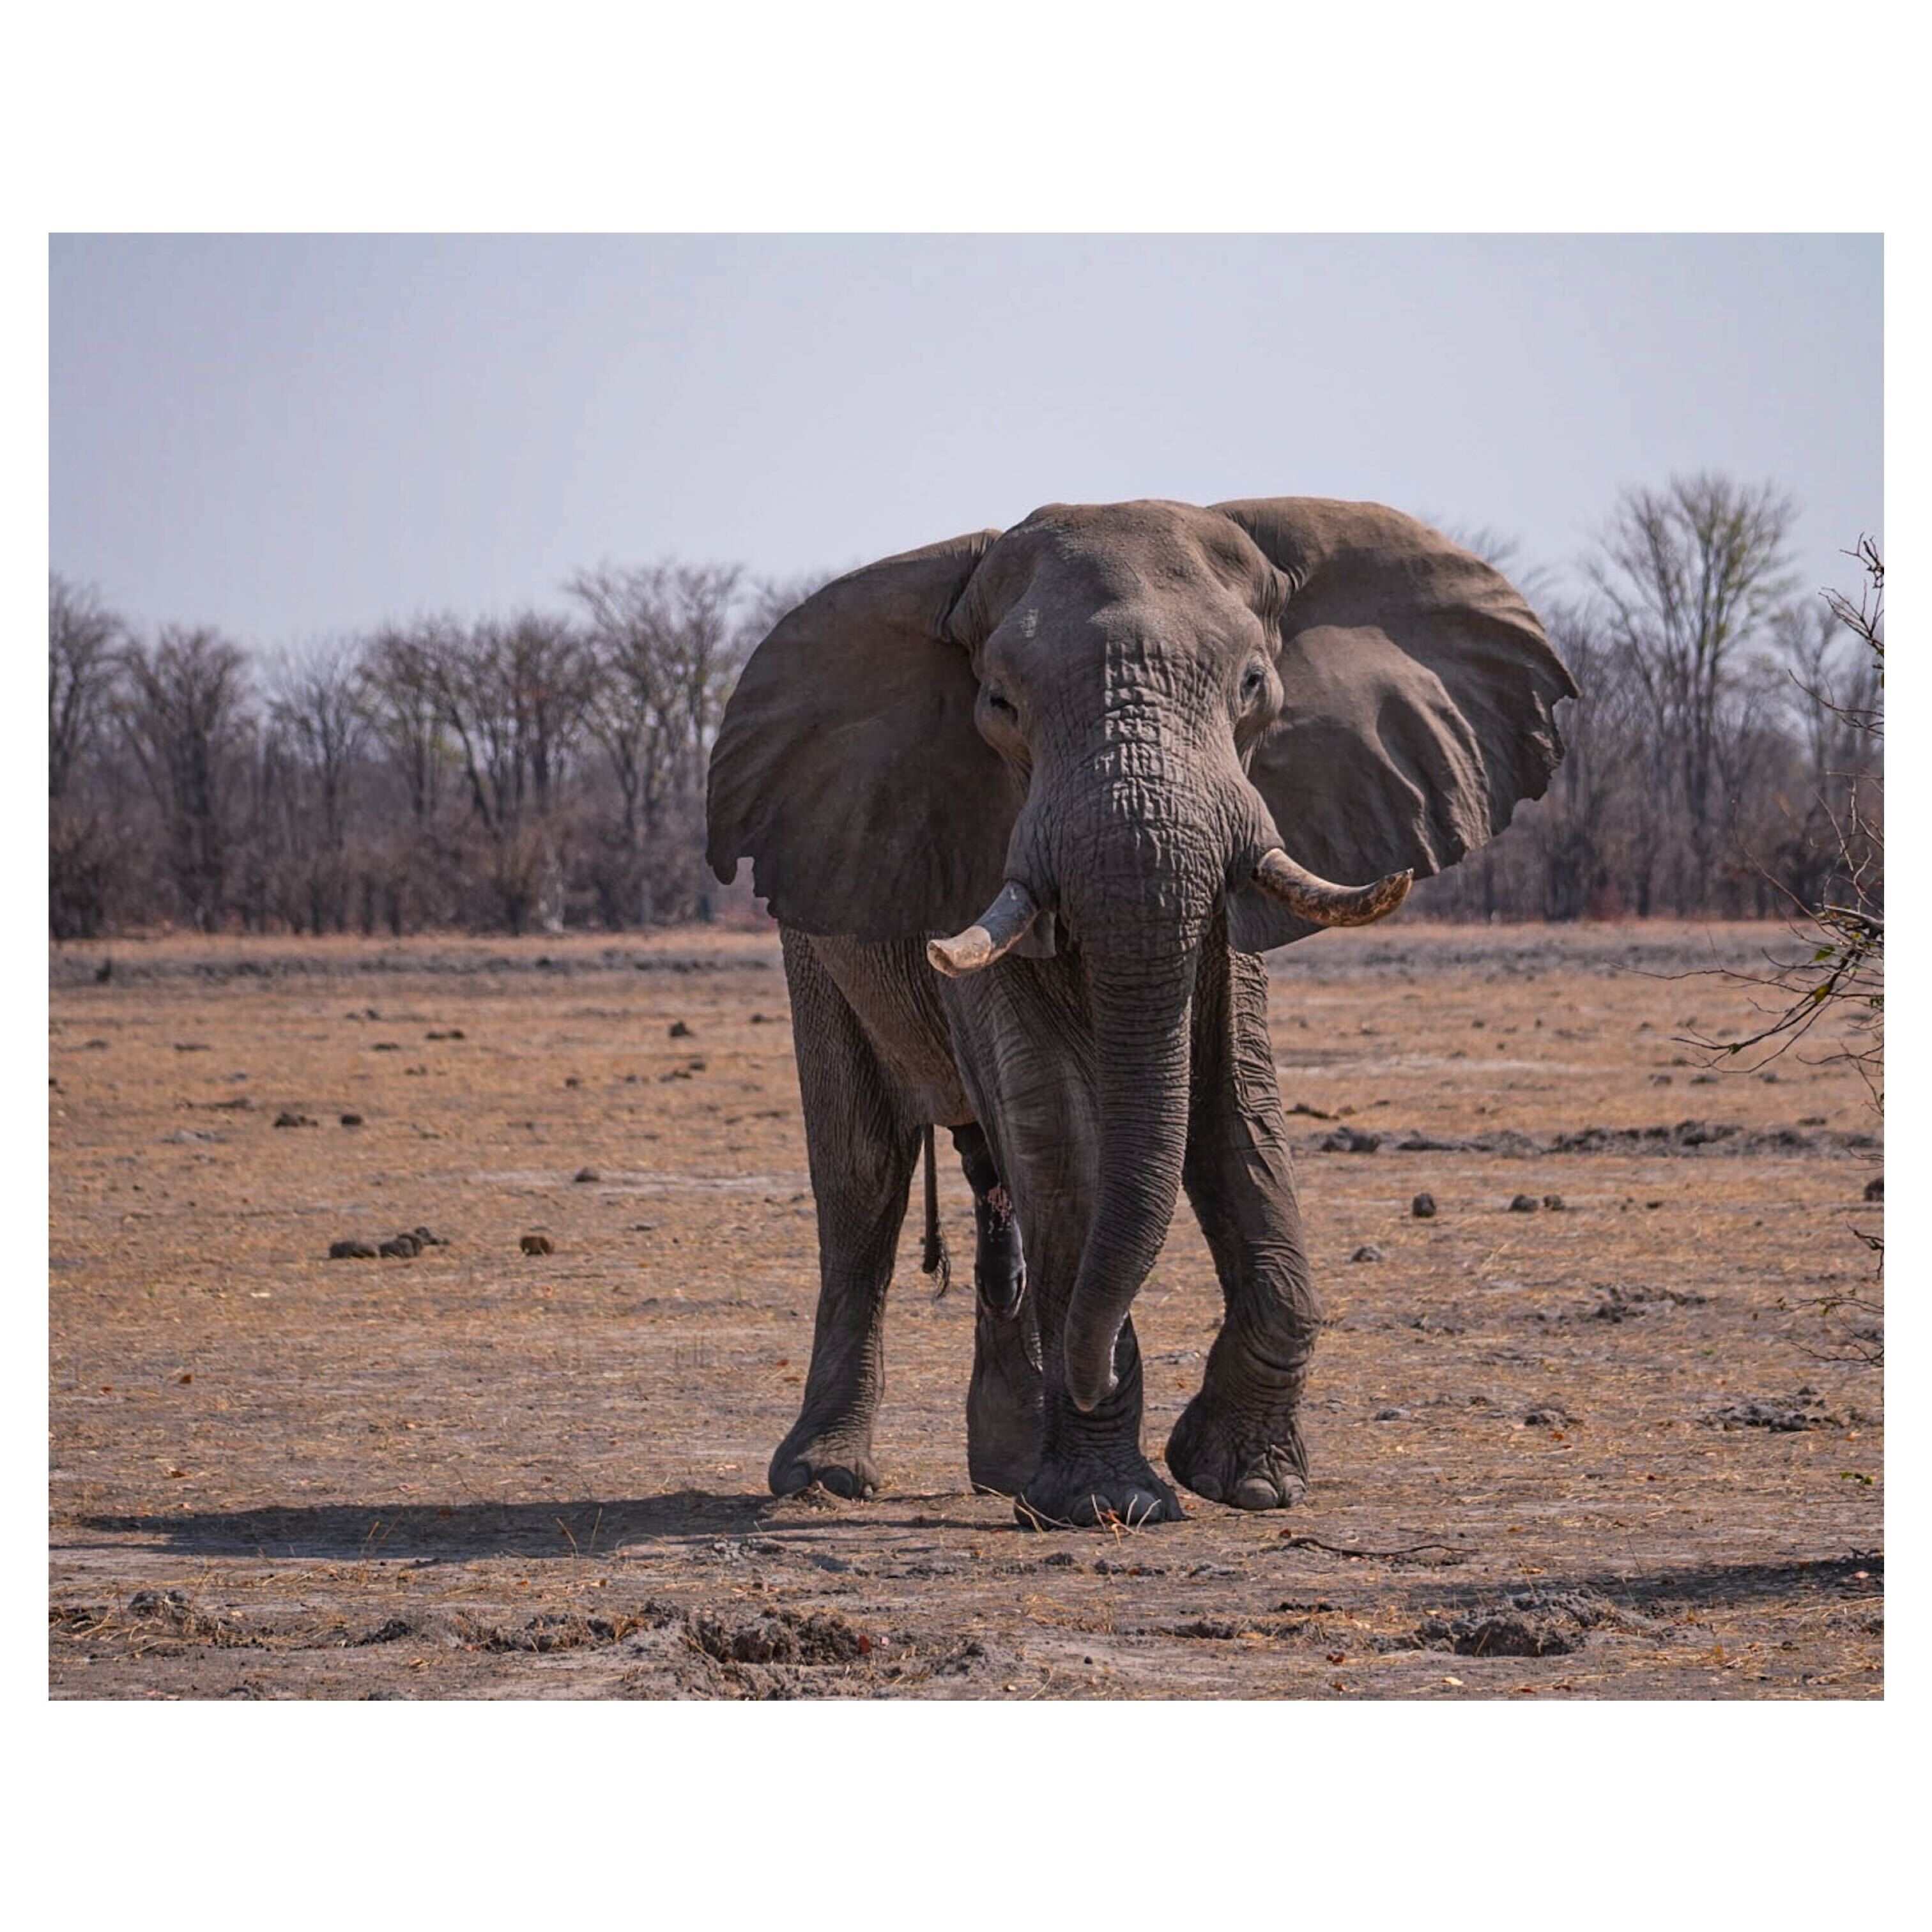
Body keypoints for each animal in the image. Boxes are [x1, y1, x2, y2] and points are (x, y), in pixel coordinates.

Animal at [706, 496, 1576, 1528]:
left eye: (1253, 685)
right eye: (1000, 707)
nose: (1100, 1376)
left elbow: (1235, 1106)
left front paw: (1246, 1482)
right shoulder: (977, 849)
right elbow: (1061, 1126)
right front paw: (1108, 1501)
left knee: (995, 1182)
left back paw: (1007, 1468)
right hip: (811, 932)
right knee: (864, 1176)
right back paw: (827, 1477)